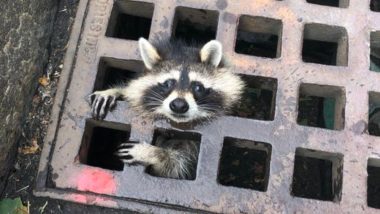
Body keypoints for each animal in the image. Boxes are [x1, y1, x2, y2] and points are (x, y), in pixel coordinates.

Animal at [90, 38, 243, 179]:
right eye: (168, 83)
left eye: (198, 87)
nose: (179, 105)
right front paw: (115, 91)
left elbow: (176, 166)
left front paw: (154, 153)